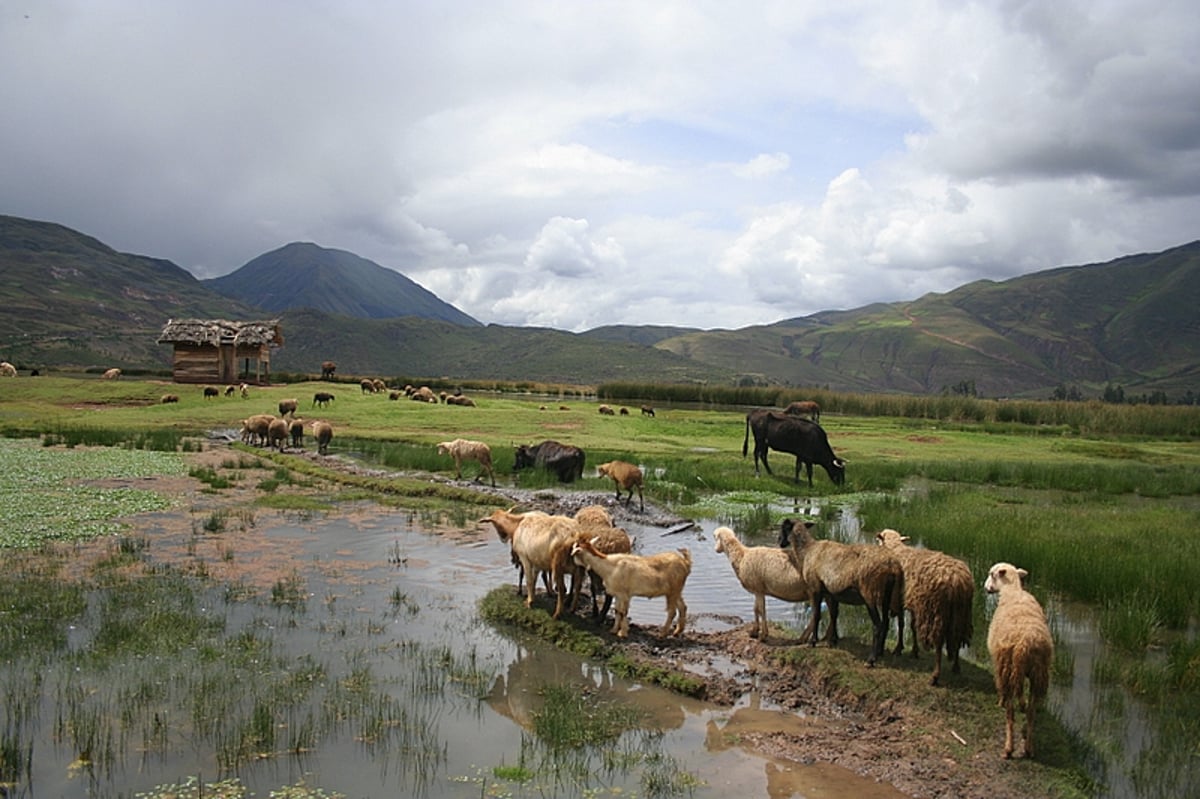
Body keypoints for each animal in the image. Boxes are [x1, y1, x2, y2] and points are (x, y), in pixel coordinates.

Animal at [777, 513, 902, 662]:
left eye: (784, 527)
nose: (779, 541)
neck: (807, 550)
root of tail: (891, 566)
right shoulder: (831, 592)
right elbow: (834, 614)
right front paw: (833, 641)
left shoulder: (815, 588)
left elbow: (817, 615)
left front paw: (813, 642)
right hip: (888, 593)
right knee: (887, 622)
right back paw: (880, 652)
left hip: (869, 593)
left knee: (878, 625)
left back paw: (872, 658)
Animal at [878, 527, 979, 686]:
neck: (896, 549)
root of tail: (957, 580)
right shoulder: (914, 602)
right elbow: (912, 627)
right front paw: (914, 651)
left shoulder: (899, 600)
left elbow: (901, 625)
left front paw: (899, 649)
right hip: (962, 613)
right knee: (957, 636)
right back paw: (956, 667)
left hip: (936, 611)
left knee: (938, 643)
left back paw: (935, 676)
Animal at [984, 559, 1051, 758]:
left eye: (991, 574)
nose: (985, 588)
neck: (1012, 592)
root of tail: (1025, 644)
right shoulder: (1019, 673)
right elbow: (1021, 694)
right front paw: (1022, 702)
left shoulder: (999, 663)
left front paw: (999, 702)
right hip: (1036, 673)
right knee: (1031, 713)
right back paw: (1029, 747)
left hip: (1008, 668)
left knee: (1010, 713)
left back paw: (1008, 748)